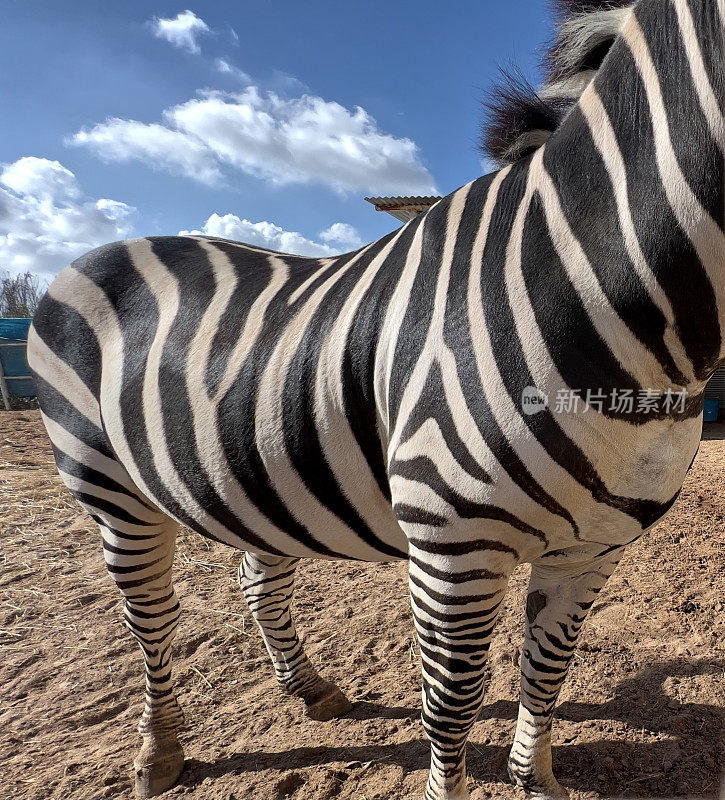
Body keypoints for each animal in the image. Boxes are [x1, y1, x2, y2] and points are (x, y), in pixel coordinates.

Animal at [26, 0, 720, 796]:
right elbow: (452, 703)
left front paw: (534, 776)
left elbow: (547, 667)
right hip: (110, 484)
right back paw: (158, 752)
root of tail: (89, 257)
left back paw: (307, 689)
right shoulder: (452, 549)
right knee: (150, 617)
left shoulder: (594, 548)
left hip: (257, 473)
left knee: (258, 580)